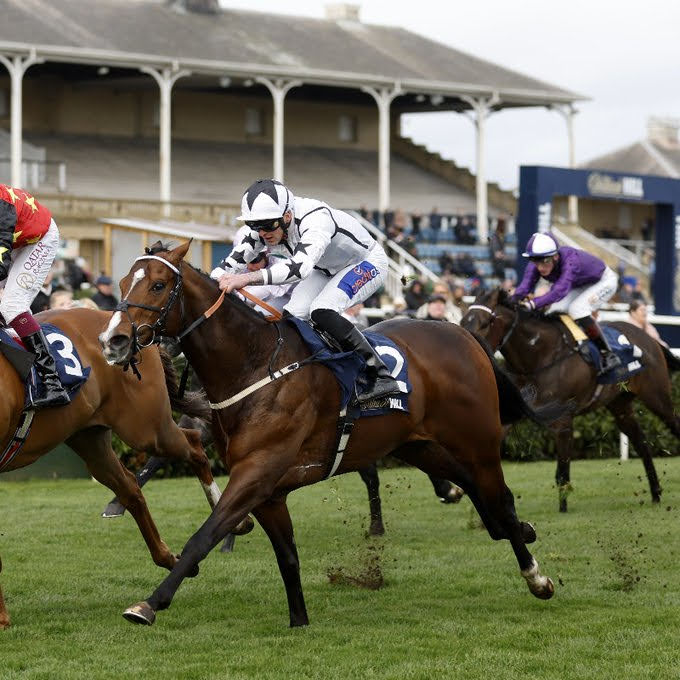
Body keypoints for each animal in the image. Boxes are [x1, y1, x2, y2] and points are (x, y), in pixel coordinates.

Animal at [0, 306, 224, 628]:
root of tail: (134, 325)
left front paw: (2, 618)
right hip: (90, 439)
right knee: (130, 488)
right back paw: (172, 559)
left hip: (146, 428)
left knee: (193, 443)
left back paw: (234, 520)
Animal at [99, 242, 556, 628]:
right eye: (122, 283)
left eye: (159, 284)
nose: (112, 340)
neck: (254, 365)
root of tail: (463, 333)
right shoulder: (269, 490)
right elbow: (287, 557)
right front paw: (299, 620)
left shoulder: (256, 474)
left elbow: (204, 536)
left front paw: (149, 603)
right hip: (421, 446)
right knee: (474, 489)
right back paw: (520, 529)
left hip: (478, 442)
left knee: (500, 498)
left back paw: (536, 575)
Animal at [460, 286, 676, 510]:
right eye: (463, 320)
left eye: (485, 322)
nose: (469, 348)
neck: (539, 355)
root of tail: (650, 338)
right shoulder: (516, 410)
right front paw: (456, 490)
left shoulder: (563, 420)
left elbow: (562, 472)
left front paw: (563, 509)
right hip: (620, 406)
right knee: (642, 444)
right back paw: (655, 493)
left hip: (657, 397)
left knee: (672, 424)